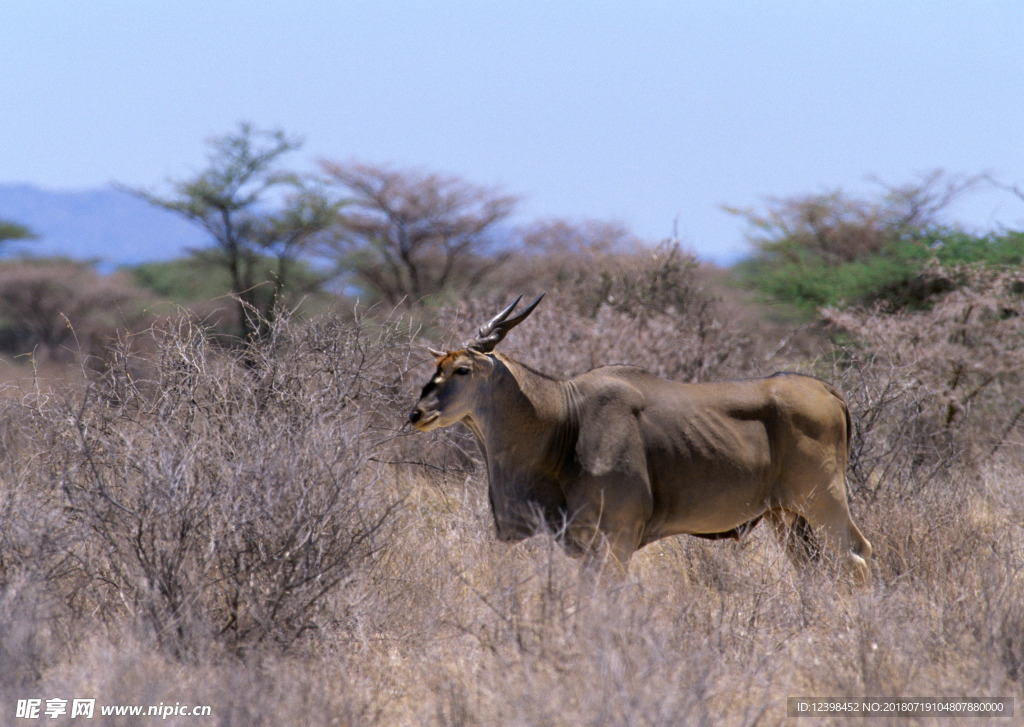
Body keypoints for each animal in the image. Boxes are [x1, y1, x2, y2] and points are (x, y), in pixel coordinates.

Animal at [407, 296, 872, 585]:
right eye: (436, 367)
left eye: (462, 370)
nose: (417, 413)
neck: (564, 420)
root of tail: (827, 390)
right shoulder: (586, 546)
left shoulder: (617, 539)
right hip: (787, 516)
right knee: (813, 570)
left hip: (822, 500)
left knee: (856, 556)